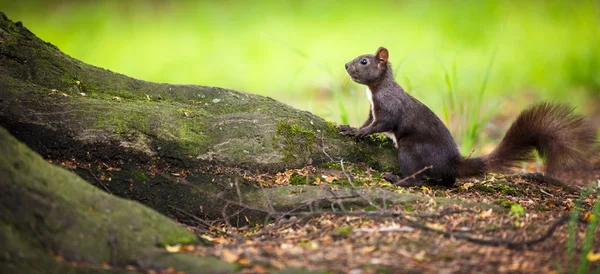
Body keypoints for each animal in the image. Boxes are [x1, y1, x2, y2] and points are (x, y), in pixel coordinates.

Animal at [338, 46, 596, 186]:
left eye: (364, 61)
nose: (346, 65)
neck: (375, 89)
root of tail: (452, 164)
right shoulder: (372, 109)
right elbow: (368, 121)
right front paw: (351, 128)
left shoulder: (390, 108)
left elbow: (381, 124)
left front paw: (359, 133)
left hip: (411, 149)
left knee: (417, 178)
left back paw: (396, 179)